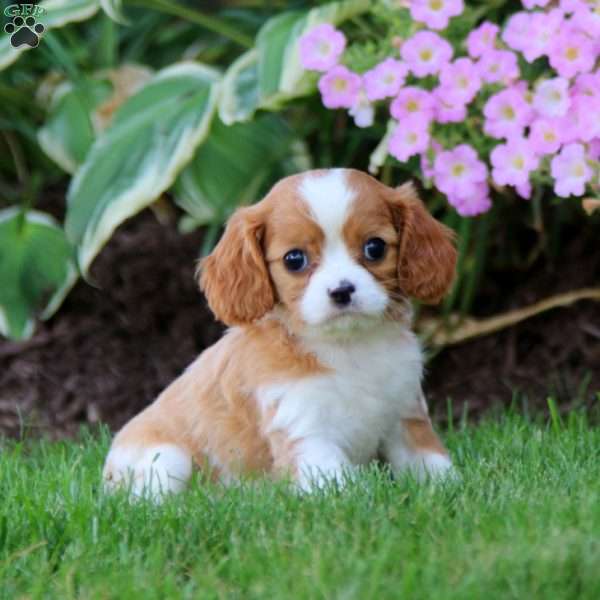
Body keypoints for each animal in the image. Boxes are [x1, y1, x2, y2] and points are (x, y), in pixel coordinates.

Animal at [103, 169, 454, 496]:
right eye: (294, 259)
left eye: (375, 248)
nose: (342, 291)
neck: (349, 347)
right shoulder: (306, 434)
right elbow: (344, 491)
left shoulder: (406, 414)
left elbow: (431, 462)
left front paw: (449, 491)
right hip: (167, 457)